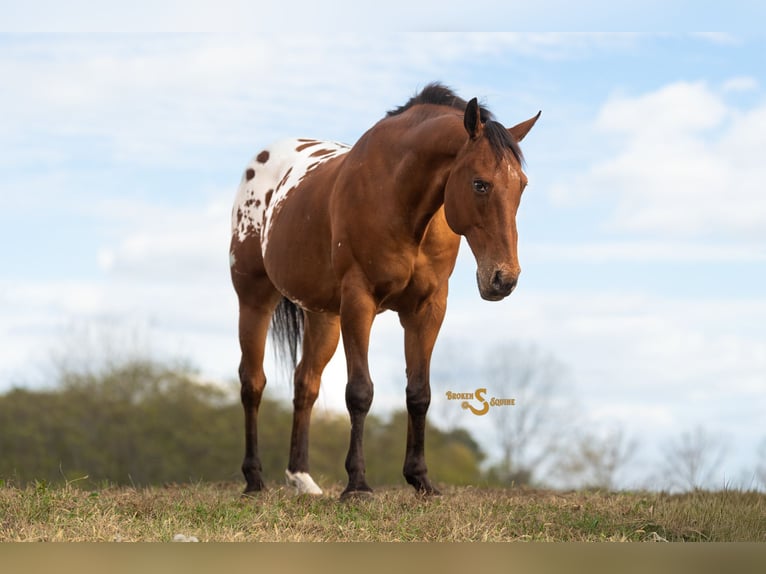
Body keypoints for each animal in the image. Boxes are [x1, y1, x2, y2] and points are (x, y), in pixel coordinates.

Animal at [229, 82, 540, 499]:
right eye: (479, 183)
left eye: (521, 185)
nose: (503, 278)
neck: (400, 196)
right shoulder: (359, 302)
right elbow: (360, 392)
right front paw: (357, 485)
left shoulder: (426, 308)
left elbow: (419, 393)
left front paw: (420, 479)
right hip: (254, 299)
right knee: (253, 382)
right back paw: (254, 479)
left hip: (323, 316)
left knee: (305, 384)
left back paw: (302, 479)